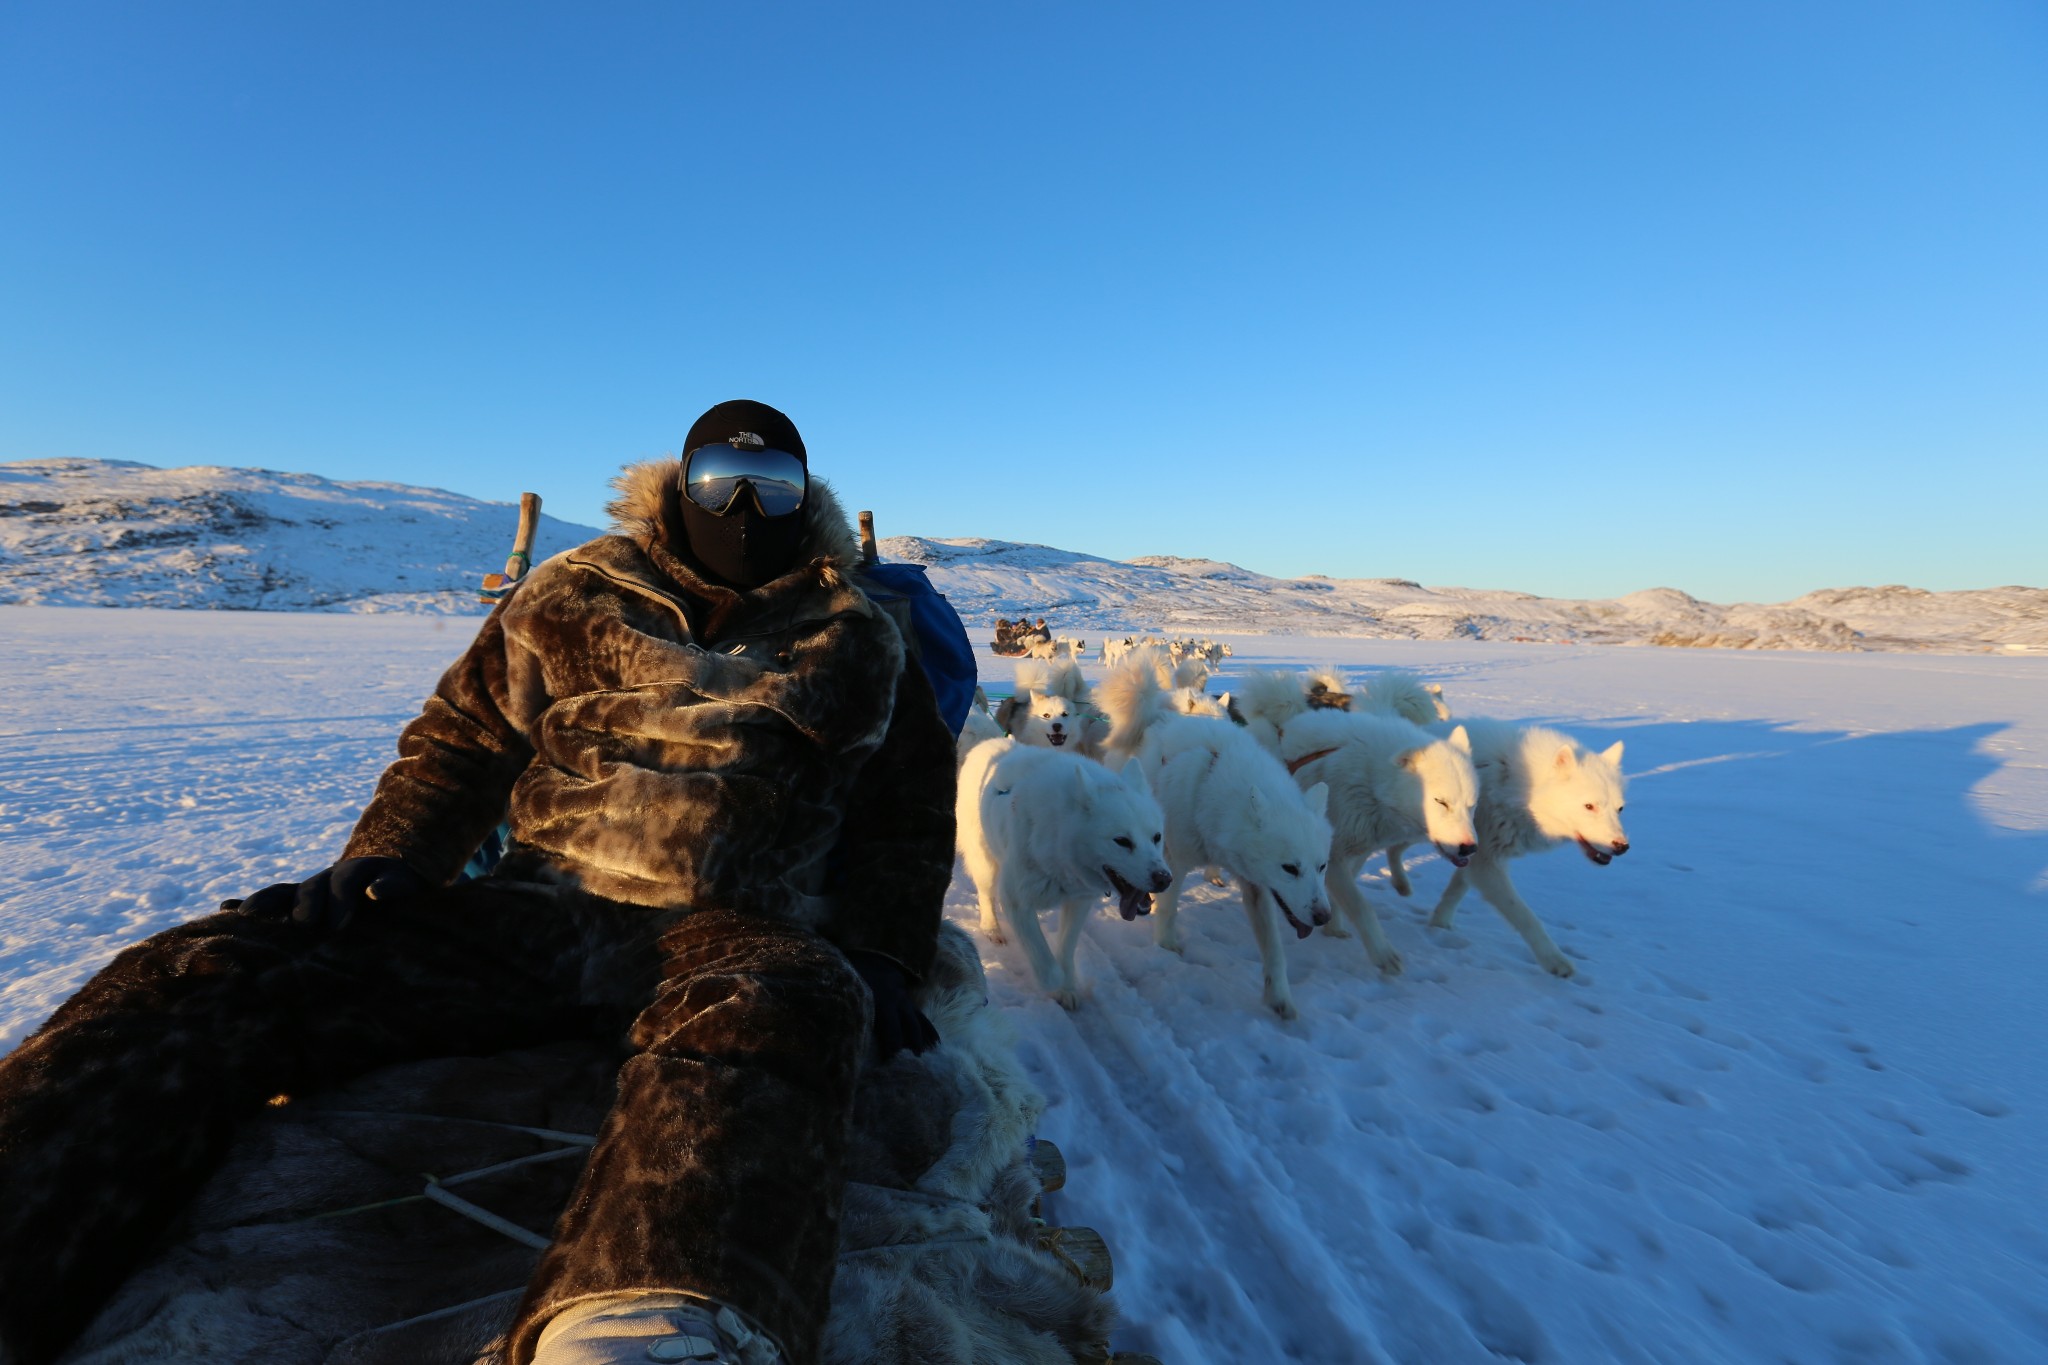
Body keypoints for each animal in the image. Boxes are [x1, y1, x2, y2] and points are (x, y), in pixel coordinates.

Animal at [954, 740, 1171, 1010]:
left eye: (1157, 837)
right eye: (1122, 841)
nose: (1164, 879)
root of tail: (988, 742)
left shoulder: (1079, 901)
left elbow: (1066, 950)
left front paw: (1067, 987)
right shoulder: (1015, 900)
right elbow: (1046, 963)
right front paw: (1054, 984)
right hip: (986, 867)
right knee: (985, 896)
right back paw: (992, 928)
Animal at [1097, 654, 1335, 1019]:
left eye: (1322, 867)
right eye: (1290, 868)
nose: (1324, 917)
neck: (1211, 787)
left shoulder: (1255, 886)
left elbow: (1273, 949)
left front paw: (1279, 998)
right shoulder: (1173, 861)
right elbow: (1168, 910)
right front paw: (1166, 946)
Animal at [1228, 671, 1474, 970]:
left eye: (1471, 805)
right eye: (1441, 802)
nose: (1470, 848)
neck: (1370, 781)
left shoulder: (1353, 854)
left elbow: (1340, 896)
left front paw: (1333, 927)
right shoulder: (1333, 856)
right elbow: (1360, 906)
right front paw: (1383, 954)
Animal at [1392, 720, 1630, 978]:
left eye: (1620, 809)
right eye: (1589, 806)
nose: (1622, 847)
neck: (1512, 785)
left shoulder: (1475, 857)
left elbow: (1455, 892)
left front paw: (1439, 924)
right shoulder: (1485, 864)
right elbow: (1526, 917)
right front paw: (1554, 960)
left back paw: (1400, 884)